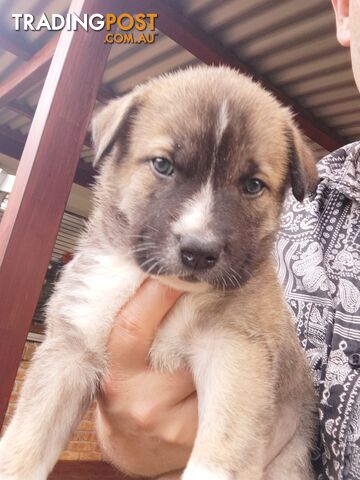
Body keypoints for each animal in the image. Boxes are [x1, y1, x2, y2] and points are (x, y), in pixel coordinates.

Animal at [0, 66, 316, 480]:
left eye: (252, 185)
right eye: (162, 165)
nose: (199, 251)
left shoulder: (235, 349)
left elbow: (220, 452)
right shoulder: (71, 348)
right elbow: (25, 444)